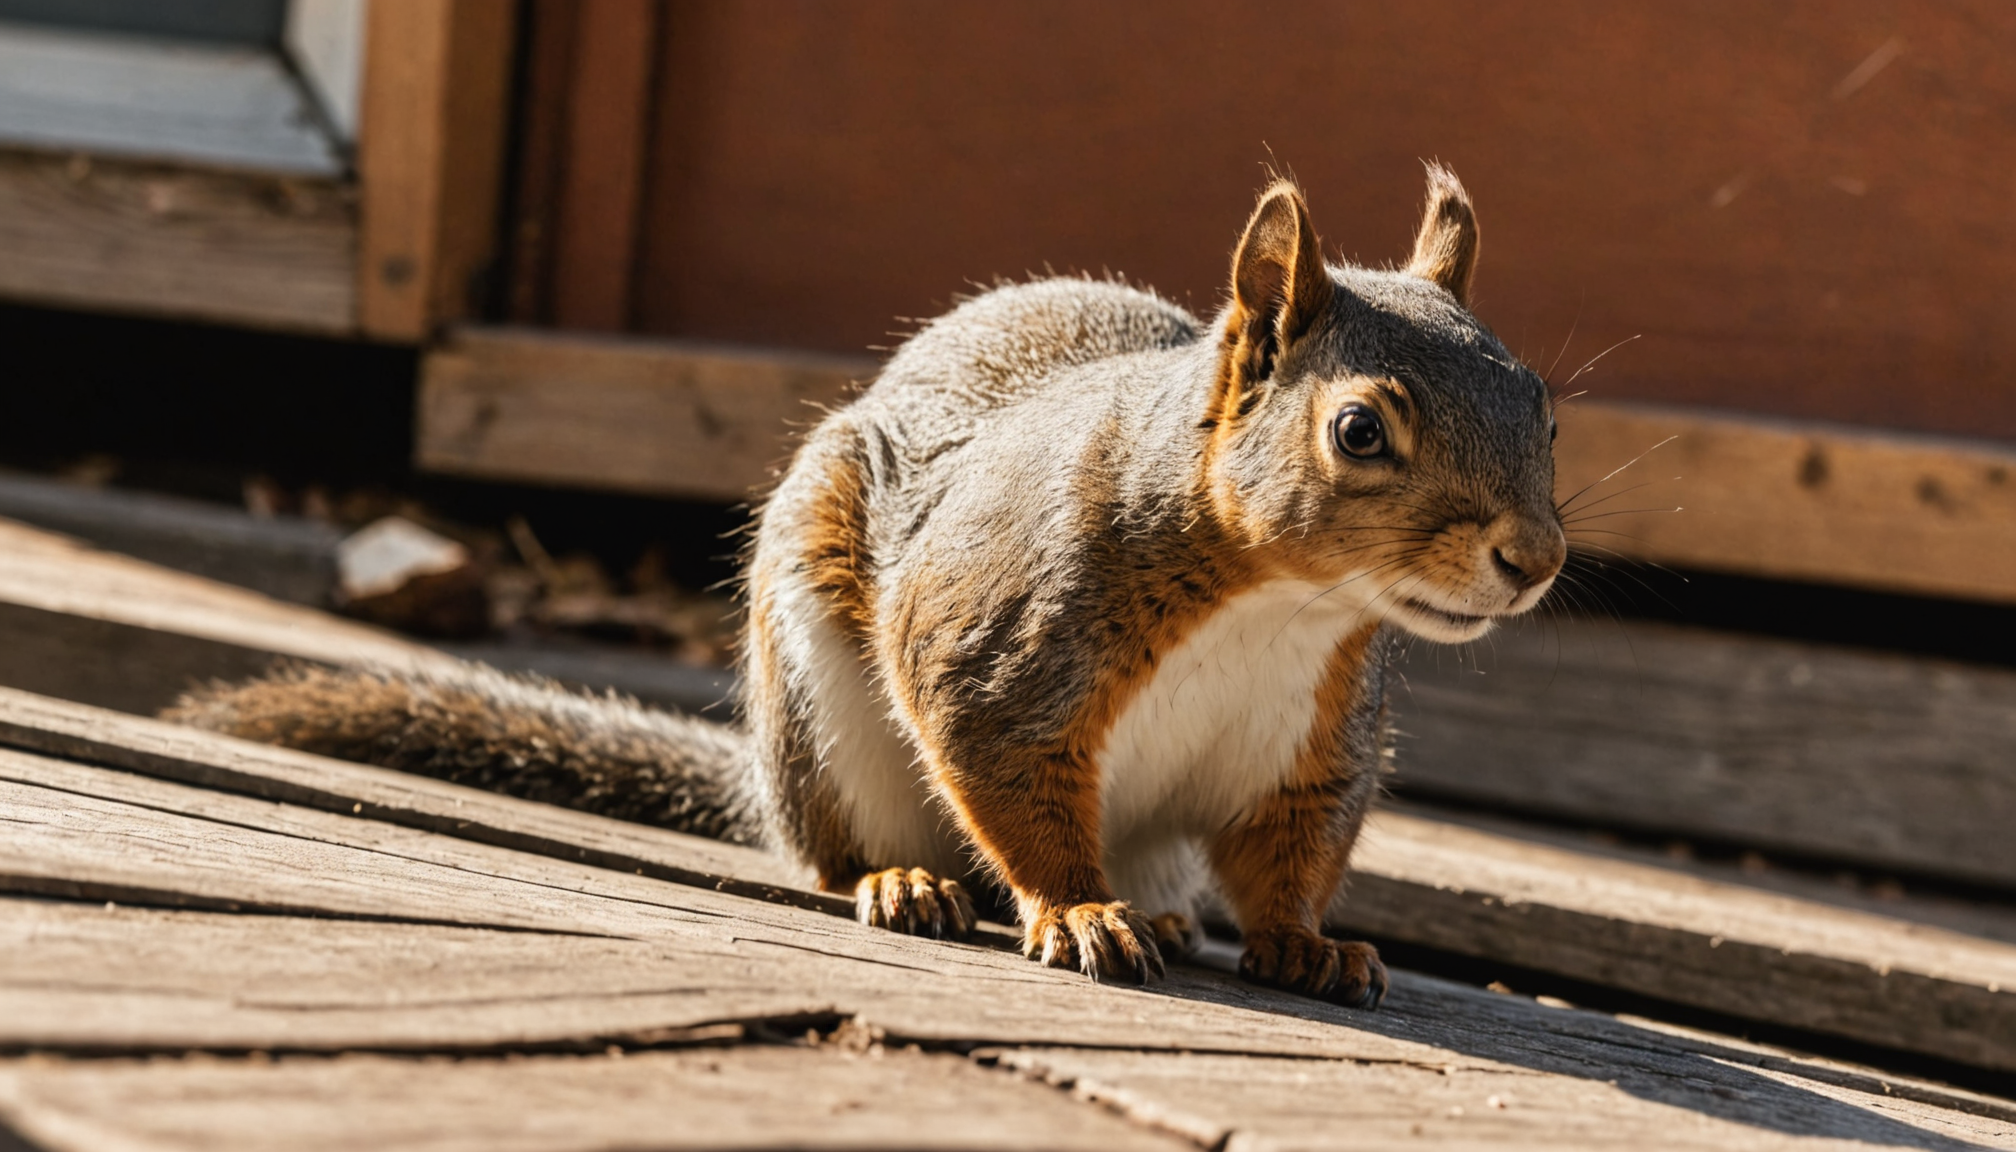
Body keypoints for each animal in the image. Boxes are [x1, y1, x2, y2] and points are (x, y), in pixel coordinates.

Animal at [166, 165, 1564, 1009]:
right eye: (1360, 432)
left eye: (1545, 408)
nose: (1535, 559)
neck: (1278, 606)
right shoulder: (1003, 657)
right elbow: (1013, 790)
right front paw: (1075, 912)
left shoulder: (1313, 740)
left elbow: (1292, 853)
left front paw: (1307, 942)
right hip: (826, 717)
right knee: (841, 851)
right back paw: (909, 886)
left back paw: (1167, 919)